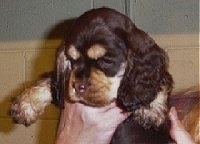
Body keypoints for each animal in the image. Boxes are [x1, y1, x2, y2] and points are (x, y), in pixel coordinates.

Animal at [9, 8, 198, 144]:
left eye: (105, 60)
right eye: (72, 60)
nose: (78, 87)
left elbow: (160, 81)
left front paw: (151, 111)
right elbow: (52, 81)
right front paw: (25, 105)